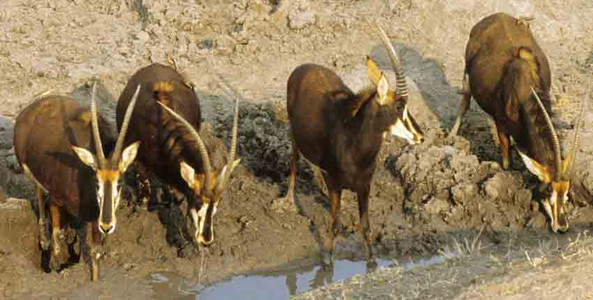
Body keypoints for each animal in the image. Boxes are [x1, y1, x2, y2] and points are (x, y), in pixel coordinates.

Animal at [13, 83, 141, 280]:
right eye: (96, 181)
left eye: (119, 182)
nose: (107, 225)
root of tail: (32, 108)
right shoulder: (56, 201)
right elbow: (57, 236)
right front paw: (55, 266)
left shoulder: (96, 217)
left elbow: (95, 252)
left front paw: (94, 280)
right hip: (30, 171)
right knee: (39, 194)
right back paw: (44, 239)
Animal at [117, 62, 239, 246]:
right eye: (198, 202)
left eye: (217, 204)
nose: (206, 240)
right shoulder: (139, 160)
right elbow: (144, 185)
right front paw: (142, 206)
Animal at [280, 24, 424, 266]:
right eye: (398, 108)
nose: (420, 136)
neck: (356, 147)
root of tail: (303, 67)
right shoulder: (334, 183)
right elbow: (336, 223)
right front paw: (327, 262)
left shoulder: (364, 186)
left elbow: (365, 227)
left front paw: (372, 263)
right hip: (294, 134)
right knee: (293, 159)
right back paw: (289, 200)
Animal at [448, 12, 588, 232]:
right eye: (548, 191)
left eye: (566, 192)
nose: (561, 227)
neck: (523, 87)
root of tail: (494, 17)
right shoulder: (501, 122)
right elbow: (507, 160)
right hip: (467, 75)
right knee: (465, 100)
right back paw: (452, 135)